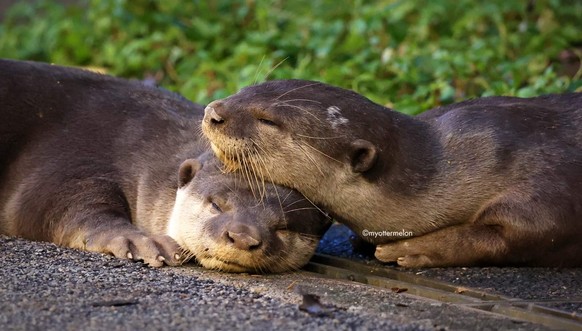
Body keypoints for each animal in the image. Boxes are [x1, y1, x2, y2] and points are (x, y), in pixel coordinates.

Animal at [0, 61, 328, 274]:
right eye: (216, 205)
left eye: (283, 227)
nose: (243, 237)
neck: (140, 146)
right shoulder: (72, 155)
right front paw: (142, 241)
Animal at [202, 80, 582, 270]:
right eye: (244, 90)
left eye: (268, 120)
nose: (213, 111)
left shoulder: (543, 188)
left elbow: (525, 232)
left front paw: (411, 250)